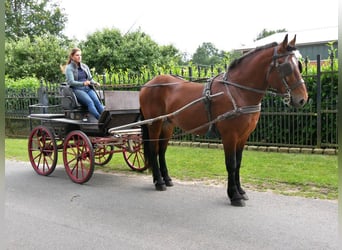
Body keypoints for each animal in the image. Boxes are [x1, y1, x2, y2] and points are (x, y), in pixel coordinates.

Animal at [138, 35, 308, 207]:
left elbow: (238, 163)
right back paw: (159, 182)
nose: (302, 99)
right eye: (287, 67)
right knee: (153, 149)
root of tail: (148, 84)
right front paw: (235, 196)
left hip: (167, 124)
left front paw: (241, 191)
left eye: (299, 65)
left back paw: (166, 179)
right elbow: (231, 164)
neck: (238, 91)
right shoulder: (229, 135)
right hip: (154, 123)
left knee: (161, 151)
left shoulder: (243, 136)